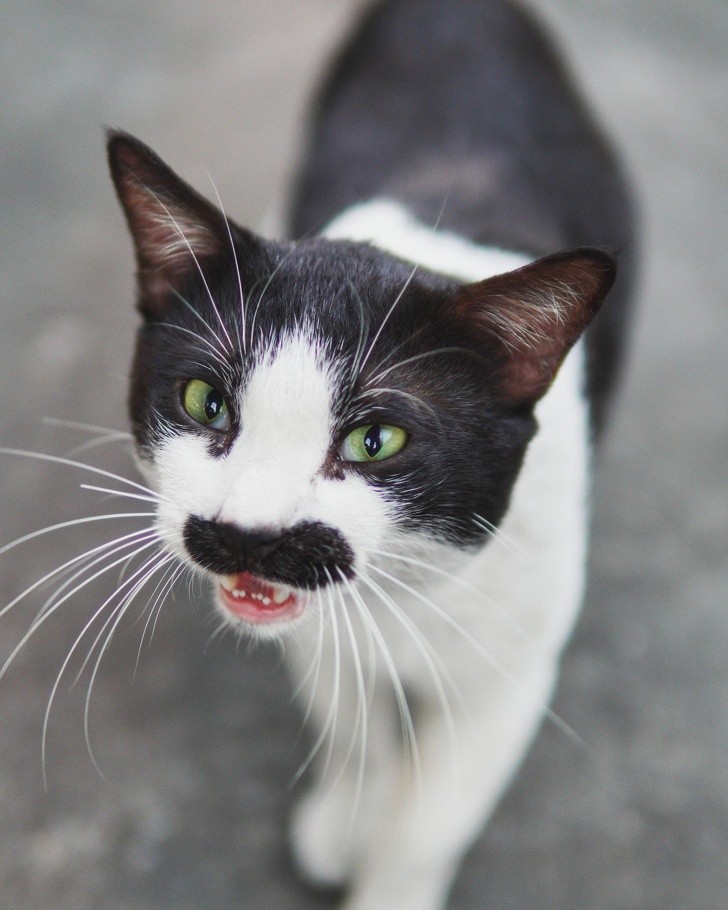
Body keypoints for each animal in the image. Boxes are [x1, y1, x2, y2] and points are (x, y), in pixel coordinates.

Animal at [105, 1, 636, 910]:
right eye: (206, 401)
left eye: (375, 441)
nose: (244, 535)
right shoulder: (316, 631)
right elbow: (353, 719)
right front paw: (349, 816)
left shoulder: (515, 665)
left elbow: (433, 821)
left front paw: (388, 866)